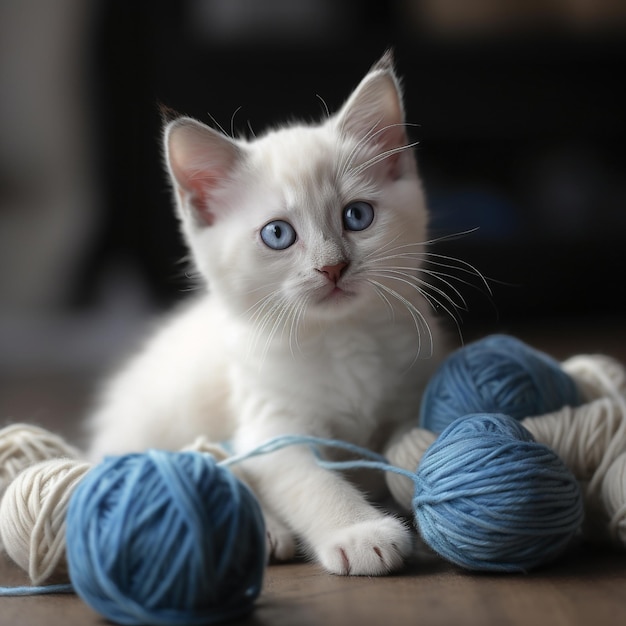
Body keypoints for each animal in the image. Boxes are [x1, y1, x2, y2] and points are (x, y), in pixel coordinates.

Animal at [86, 53, 448, 576]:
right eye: (278, 234)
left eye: (357, 216)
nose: (332, 266)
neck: (341, 338)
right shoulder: (269, 425)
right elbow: (308, 481)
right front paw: (362, 533)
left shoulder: (411, 387)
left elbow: (410, 437)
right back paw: (268, 532)